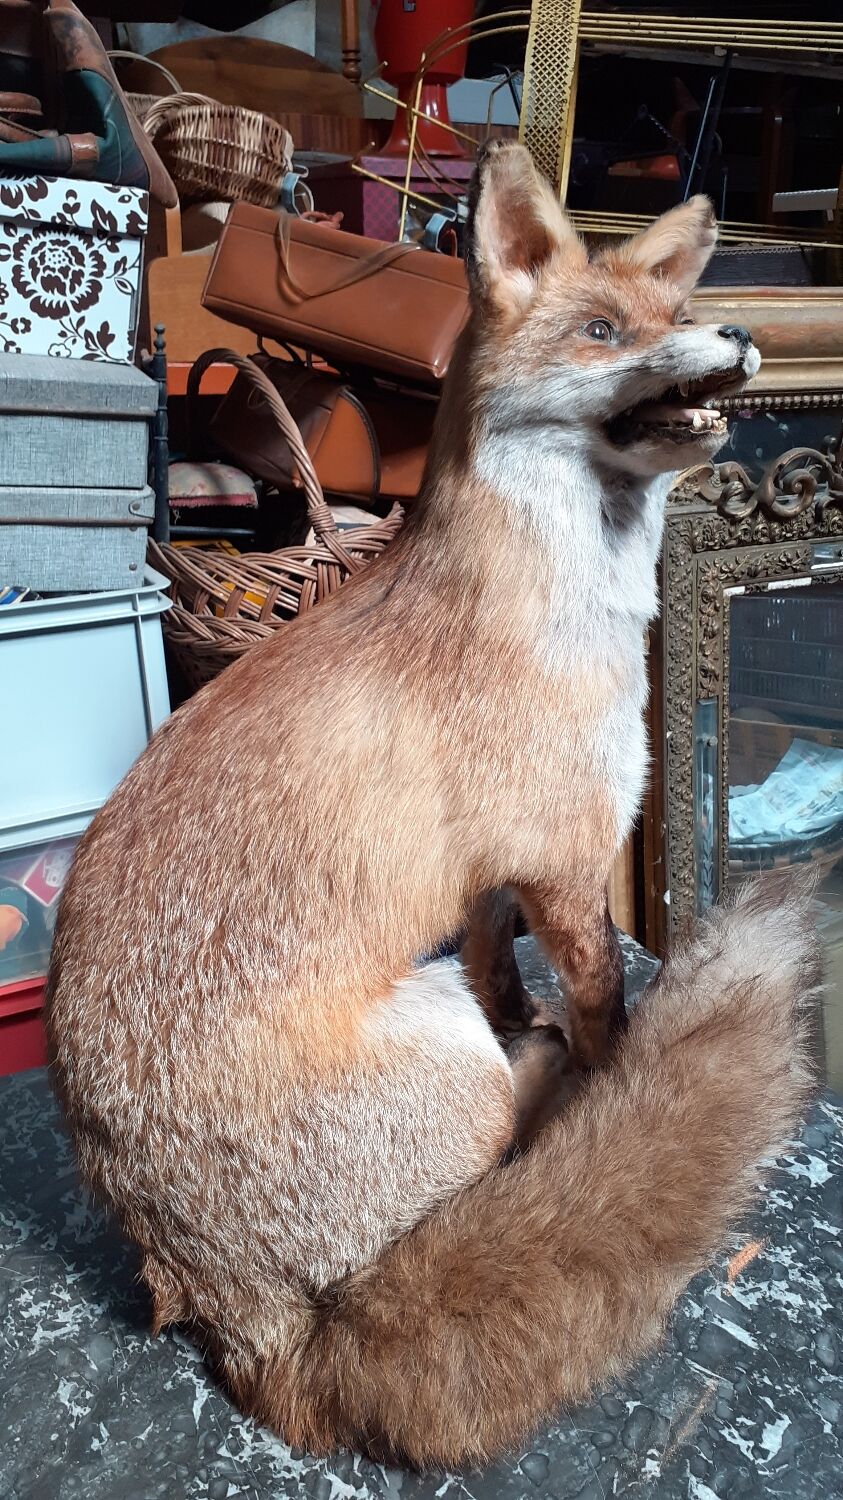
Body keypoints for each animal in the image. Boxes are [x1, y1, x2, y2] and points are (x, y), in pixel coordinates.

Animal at [45, 141, 818, 1468]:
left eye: (674, 310)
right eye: (604, 330)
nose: (738, 332)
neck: (566, 609)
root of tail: (236, 1306)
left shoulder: (491, 875)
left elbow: (501, 954)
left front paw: (549, 1033)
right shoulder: (566, 860)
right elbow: (605, 1013)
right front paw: (608, 1087)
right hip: (436, 1030)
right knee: (494, 1142)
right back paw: (549, 1100)